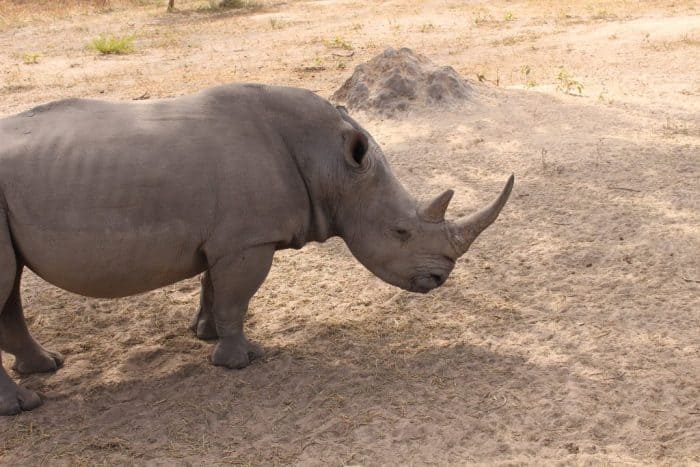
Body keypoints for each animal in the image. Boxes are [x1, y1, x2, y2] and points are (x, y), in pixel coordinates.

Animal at [0, 84, 513, 415]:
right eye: (401, 232)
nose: (439, 279)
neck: (333, 166)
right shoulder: (249, 240)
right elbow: (236, 298)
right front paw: (242, 361)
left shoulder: (228, 237)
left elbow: (212, 287)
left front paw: (205, 336)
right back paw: (25, 406)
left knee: (10, 290)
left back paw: (46, 368)